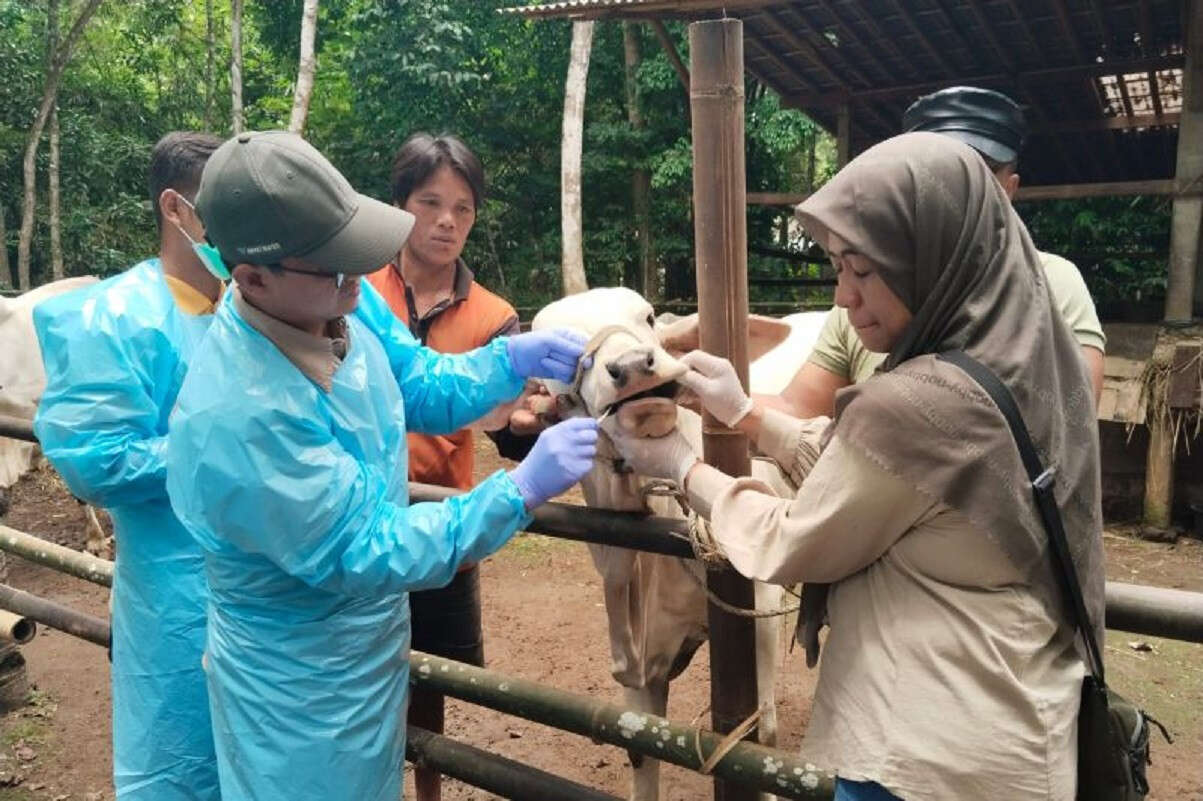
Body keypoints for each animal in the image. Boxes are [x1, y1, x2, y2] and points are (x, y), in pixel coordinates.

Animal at [536, 288, 827, 798]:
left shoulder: (758, 610)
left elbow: (765, 738)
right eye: (558, 353)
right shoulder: (642, 661)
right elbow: (639, 744)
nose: (633, 366)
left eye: (650, 318)